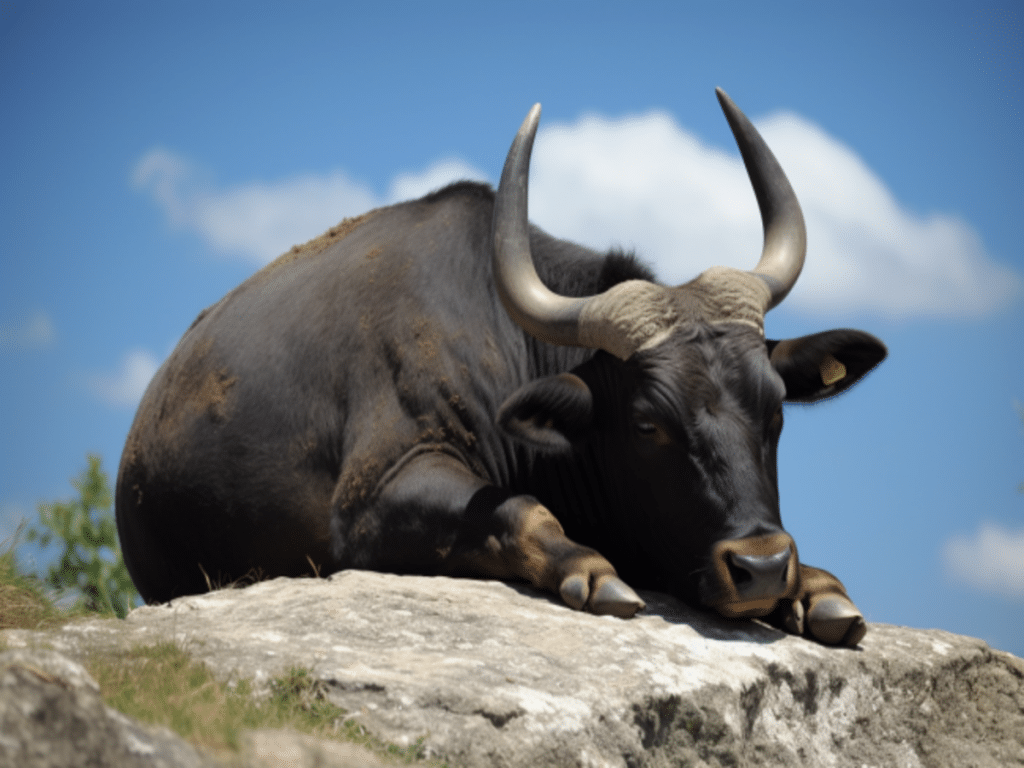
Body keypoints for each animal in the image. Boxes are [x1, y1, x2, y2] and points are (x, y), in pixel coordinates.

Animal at [116, 89, 886, 647]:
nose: (760, 566)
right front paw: (592, 574)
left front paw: (814, 588)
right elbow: (520, 511)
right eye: (647, 425)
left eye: (775, 407)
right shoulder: (377, 498)